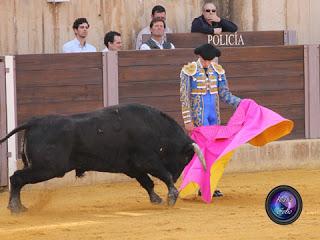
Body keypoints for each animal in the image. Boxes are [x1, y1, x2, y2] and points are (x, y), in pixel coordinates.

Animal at [0, 104, 205, 213]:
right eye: (185, 158)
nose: (178, 176)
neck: (155, 127)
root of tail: (34, 121)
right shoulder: (146, 160)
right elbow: (163, 176)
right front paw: (172, 196)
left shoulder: (132, 167)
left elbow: (147, 182)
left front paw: (157, 199)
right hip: (48, 168)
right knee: (16, 178)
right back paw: (16, 208)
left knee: (17, 179)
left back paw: (19, 207)